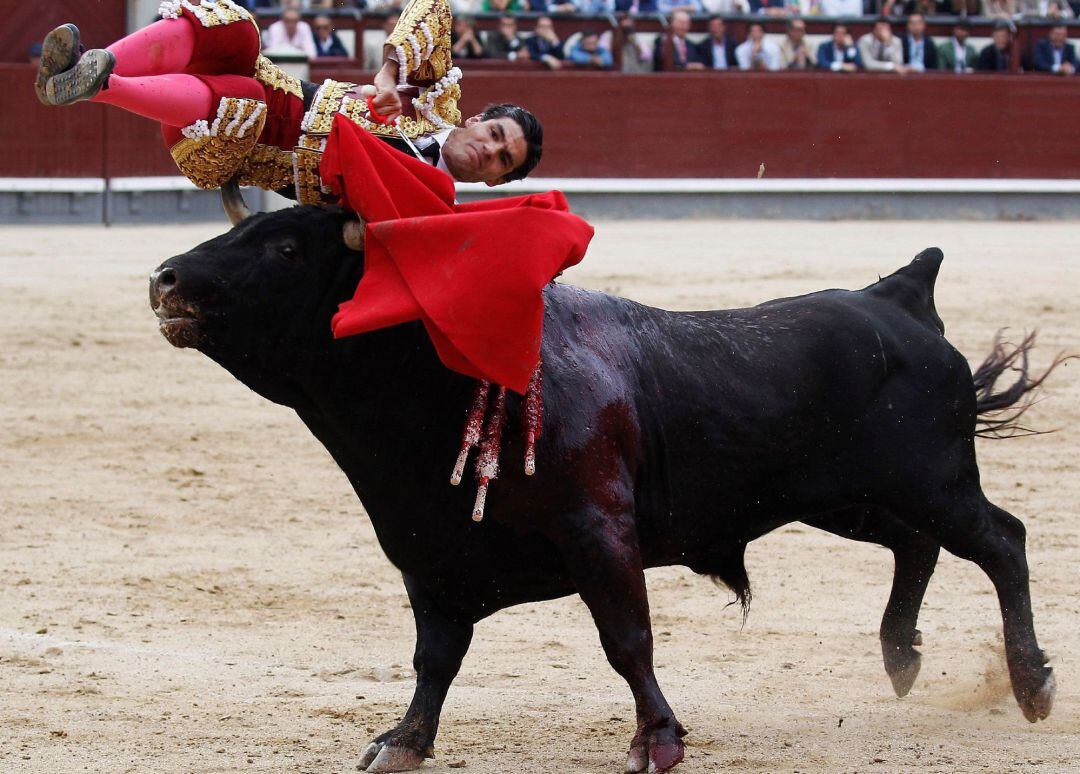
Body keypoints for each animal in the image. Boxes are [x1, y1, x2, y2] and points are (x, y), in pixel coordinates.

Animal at [150, 207, 1054, 772]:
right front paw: (403, 741)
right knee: (917, 545)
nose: (165, 279)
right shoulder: (428, 553)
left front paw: (658, 741)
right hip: (848, 501)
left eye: (286, 248)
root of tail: (893, 295)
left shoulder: (597, 531)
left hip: (929, 482)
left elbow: (627, 640)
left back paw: (1031, 685)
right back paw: (902, 656)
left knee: (1000, 541)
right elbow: (434, 656)